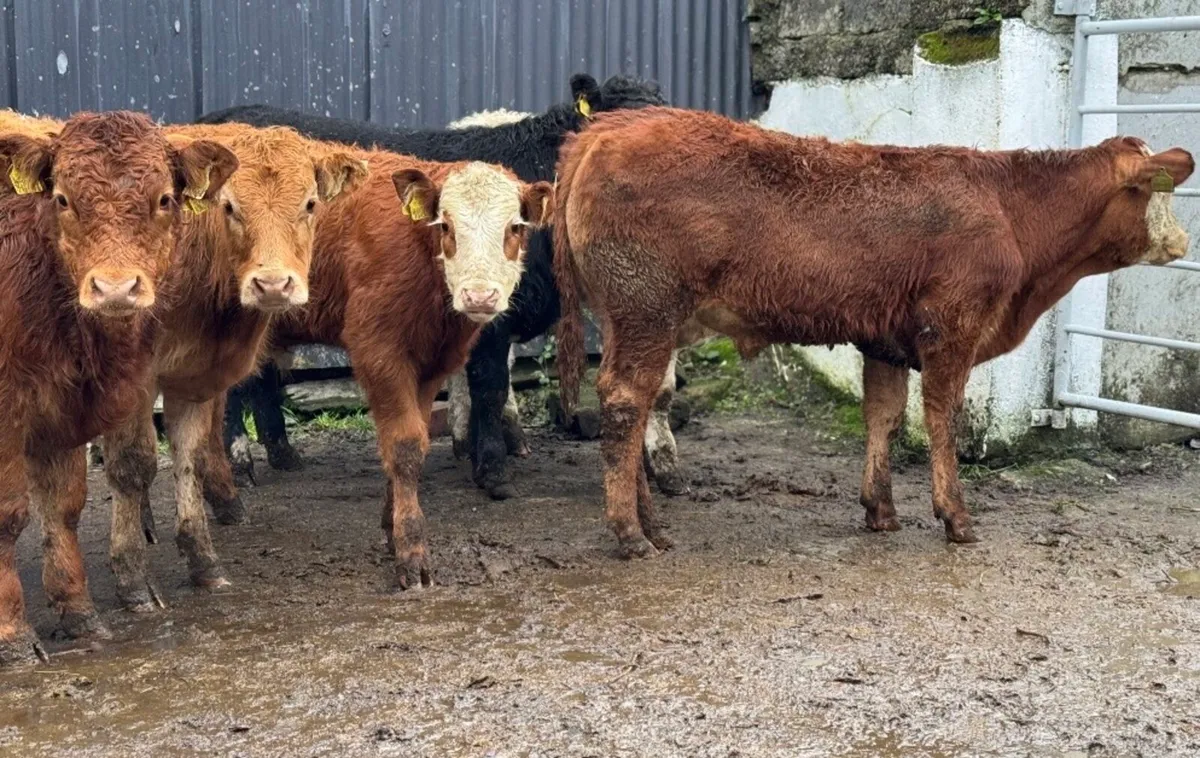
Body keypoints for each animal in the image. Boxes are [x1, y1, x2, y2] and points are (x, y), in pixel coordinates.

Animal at [0, 112, 237, 665]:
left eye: (164, 199)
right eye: (63, 199)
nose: (114, 289)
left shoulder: (61, 408)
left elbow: (63, 509)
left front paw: (77, 611)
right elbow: (8, 516)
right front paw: (13, 636)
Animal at [552, 106, 1194, 557]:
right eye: (1154, 190)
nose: (1184, 242)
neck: (1009, 211)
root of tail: (611, 126)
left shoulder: (886, 341)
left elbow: (882, 416)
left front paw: (879, 510)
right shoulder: (952, 328)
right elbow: (942, 418)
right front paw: (955, 516)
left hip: (631, 320)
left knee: (634, 407)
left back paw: (651, 524)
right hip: (646, 312)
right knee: (624, 403)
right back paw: (630, 533)